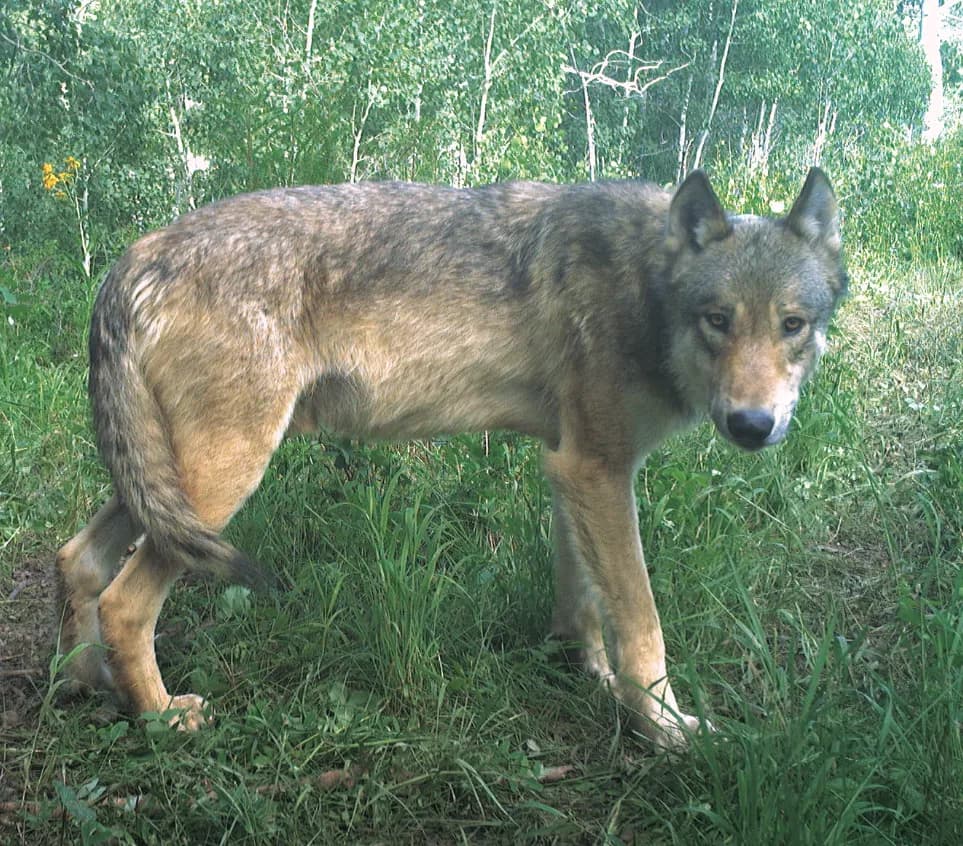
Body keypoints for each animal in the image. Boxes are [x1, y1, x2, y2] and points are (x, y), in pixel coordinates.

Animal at [55, 169, 846, 749]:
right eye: (717, 321)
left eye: (792, 325)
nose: (753, 425)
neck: (643, 284)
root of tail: (134, 258)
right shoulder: (598, 469)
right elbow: (642, 621)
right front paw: (665, 728)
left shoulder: (569, 467)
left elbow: (587, 600)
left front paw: (586, 670)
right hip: (217, 487)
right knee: (124, 601)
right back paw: (161, 719)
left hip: (166, 488)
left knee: (76, 559)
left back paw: (84, 682)